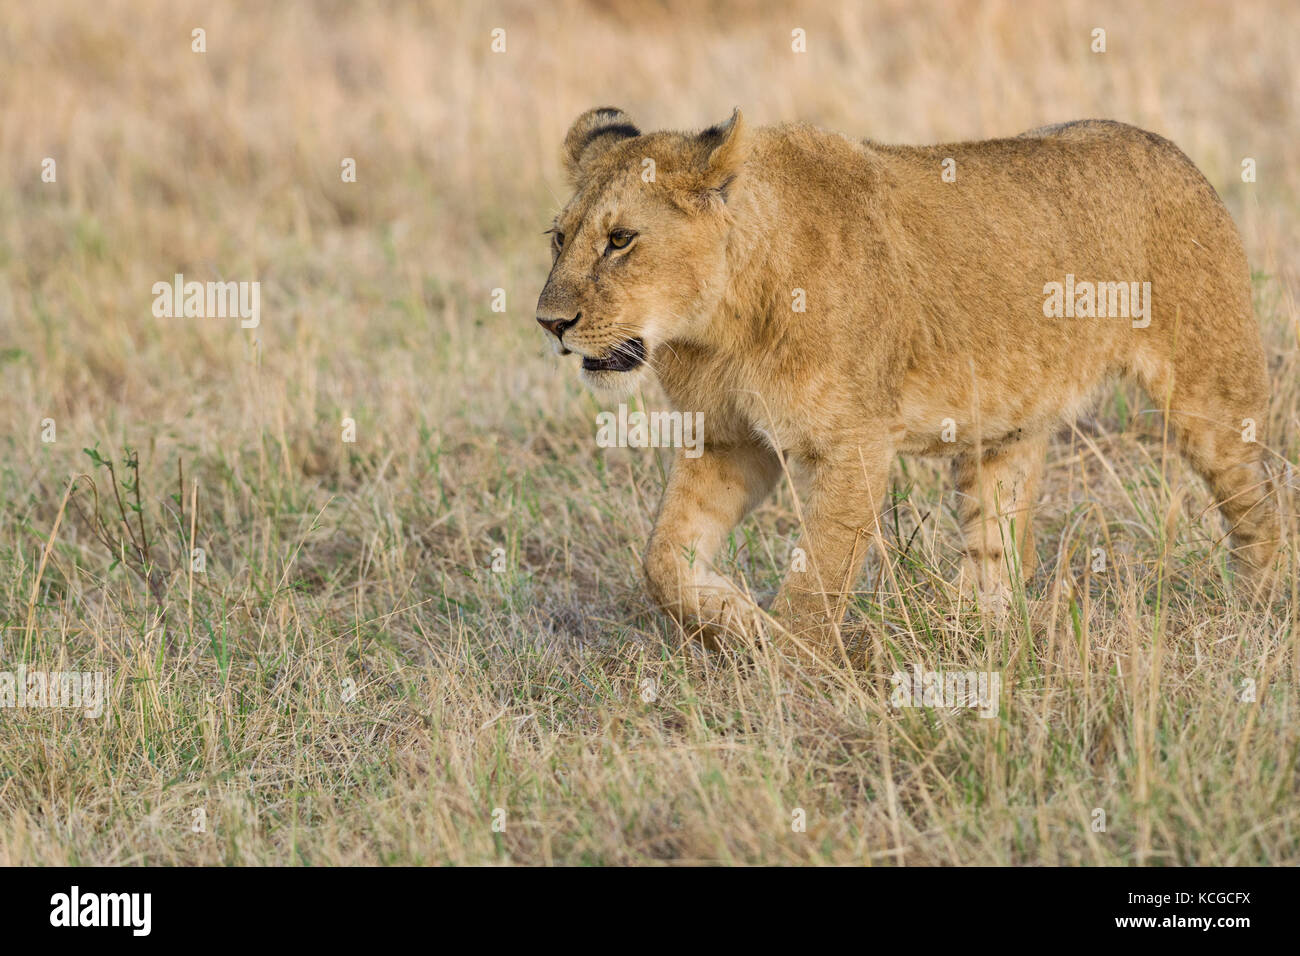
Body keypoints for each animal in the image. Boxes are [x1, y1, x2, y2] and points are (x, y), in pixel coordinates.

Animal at [535, 107, 1280, 659]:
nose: (550, 323)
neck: (715, 327)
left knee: (1261, 502)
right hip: (1003, 432)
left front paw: (788, 675)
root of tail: (1166, 146)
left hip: (1211, 390)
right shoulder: (728, 441)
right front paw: (738, 620)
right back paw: (971, 637)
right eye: (559, 238)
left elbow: (817, 580)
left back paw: (1256, 611)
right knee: (996, 550)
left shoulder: (853, 444)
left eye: (621, 240)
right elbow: (663, 560)